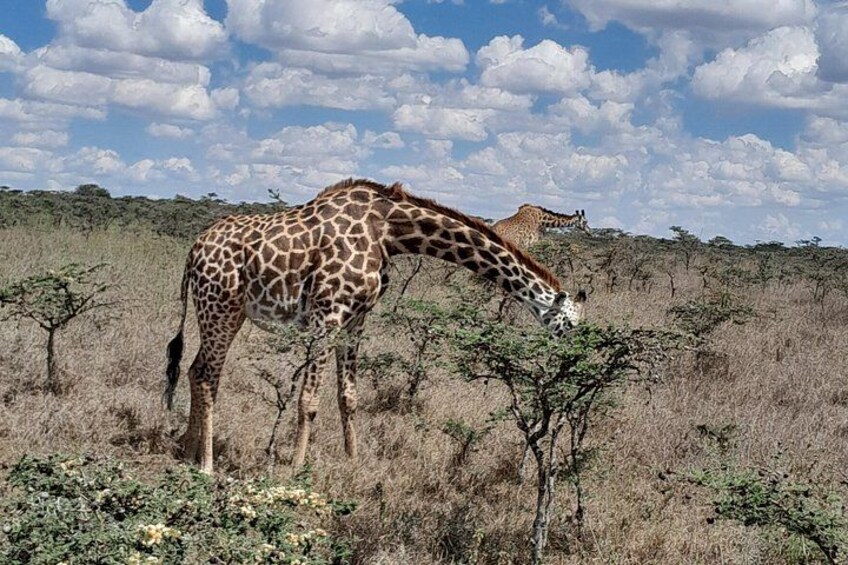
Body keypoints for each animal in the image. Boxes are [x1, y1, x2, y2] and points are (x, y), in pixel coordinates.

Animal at [165, 179, 587, 473]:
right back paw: (206, 464)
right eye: (570, 326)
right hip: (220, 306)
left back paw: (187, 451)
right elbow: (309, 401)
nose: (576, 366)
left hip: (224, 310)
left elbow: (348, 396)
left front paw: (353, 462)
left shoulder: (356, 318)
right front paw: (295, 471)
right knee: (207, 376)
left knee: (194, 369)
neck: (389, 230)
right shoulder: (327, 313)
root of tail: (193, 250)